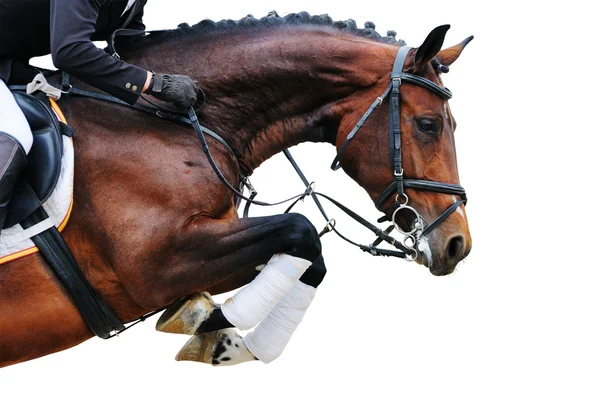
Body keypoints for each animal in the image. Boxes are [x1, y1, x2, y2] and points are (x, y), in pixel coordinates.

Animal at [0, 11, 474, 366]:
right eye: (428, 125)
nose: (457, 244)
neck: (163, 120)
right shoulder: (153, 267)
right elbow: (302, 229)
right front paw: (208, 323)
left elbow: (308, 256)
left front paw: (219, 338)